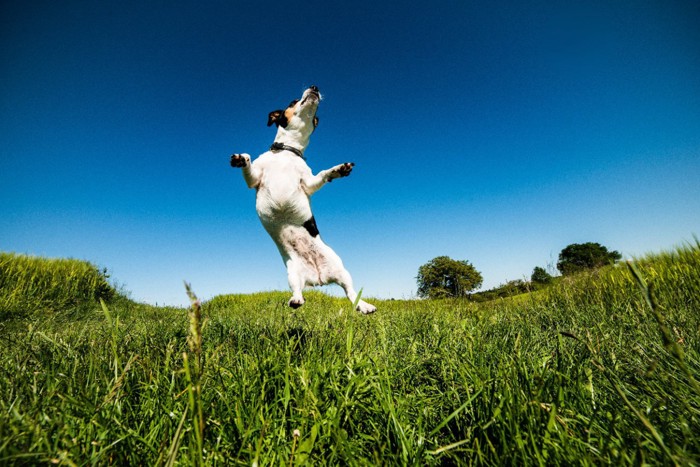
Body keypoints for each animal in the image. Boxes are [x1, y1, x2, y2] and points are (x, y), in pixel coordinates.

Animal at [228, 87, 378, 314]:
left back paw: (364, 305)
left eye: (316, 118)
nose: (315, 87)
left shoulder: (308, 183)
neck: (287, 151)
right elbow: (248, 160)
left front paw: (338, 170)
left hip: (342, 269)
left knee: (351, 293)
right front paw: (241, 159)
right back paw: (296, 300)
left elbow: (323, 174)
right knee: (298, 291)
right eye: (293, 101)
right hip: (292, 273)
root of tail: (319, 278)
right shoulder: (255, 178)